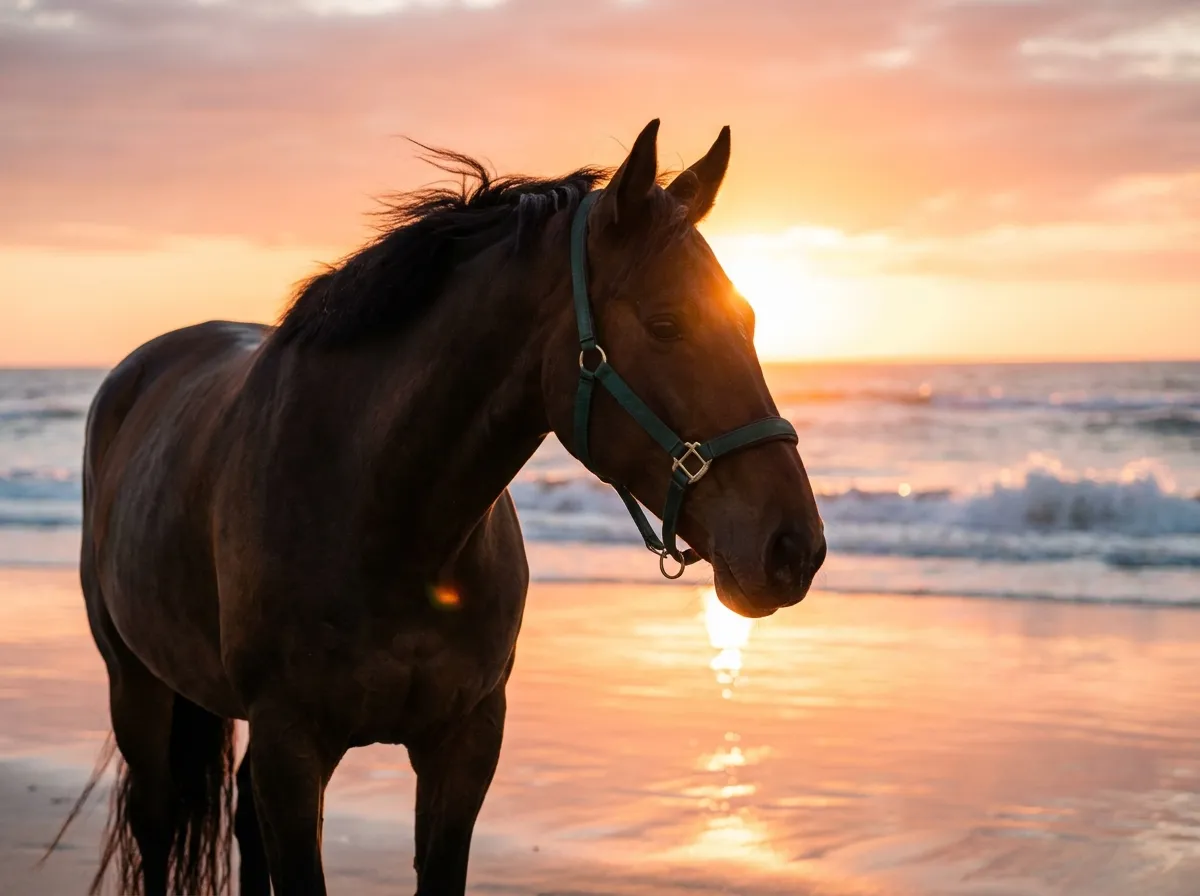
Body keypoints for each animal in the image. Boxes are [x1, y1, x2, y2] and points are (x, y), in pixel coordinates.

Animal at [61, 118, 826, 895]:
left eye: (749, 319)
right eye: (667, 324)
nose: (795, 548)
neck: (384, 520)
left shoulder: (464, 745)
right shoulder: (291, 746)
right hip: (136, 685)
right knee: (156, 825)